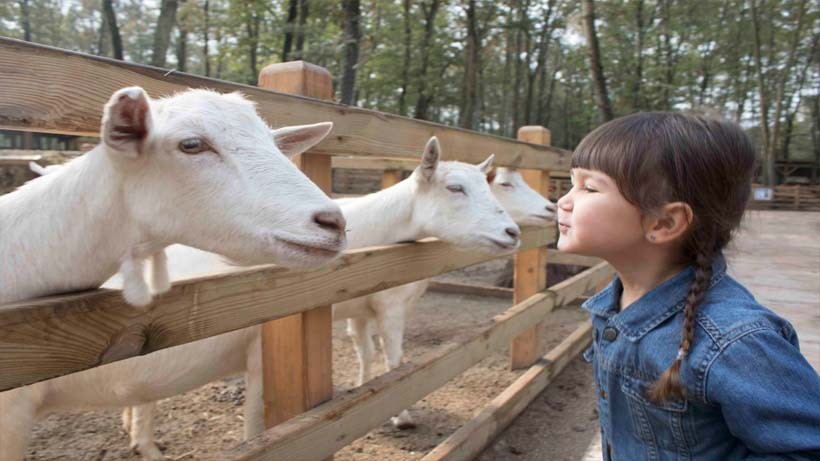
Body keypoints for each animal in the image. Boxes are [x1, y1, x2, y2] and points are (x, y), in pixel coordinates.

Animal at [6, 136, 520, 456]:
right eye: (455, 187)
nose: (513, 232)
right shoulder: (281, 345)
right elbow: (394, 360)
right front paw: (404, 415)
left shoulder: (359, 305)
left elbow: (367, 352)